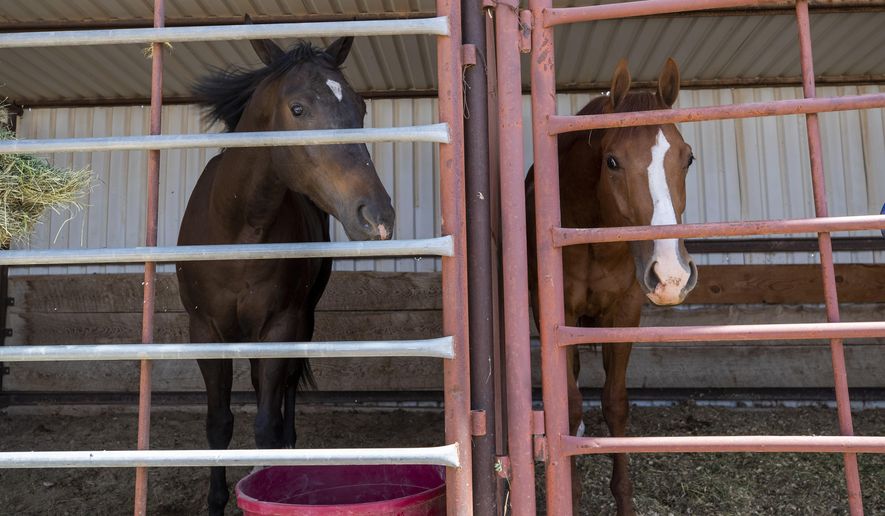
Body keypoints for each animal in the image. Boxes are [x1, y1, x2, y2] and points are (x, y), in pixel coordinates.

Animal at [176, 31, 395, 515]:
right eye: (298, 109)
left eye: (360, 109)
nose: (378, 216)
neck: (237, 229)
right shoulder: (205, 330)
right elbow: (218, 424)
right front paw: (216, 501)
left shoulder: (280, 324)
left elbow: (265, 423)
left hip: (300, 320)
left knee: (283, 392)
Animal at [527, 58, 698, 515]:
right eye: (613, 162)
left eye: (689, 158)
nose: (671, 275)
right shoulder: (556, 316)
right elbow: (568, 407)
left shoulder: (624, 313)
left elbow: (616, 404)